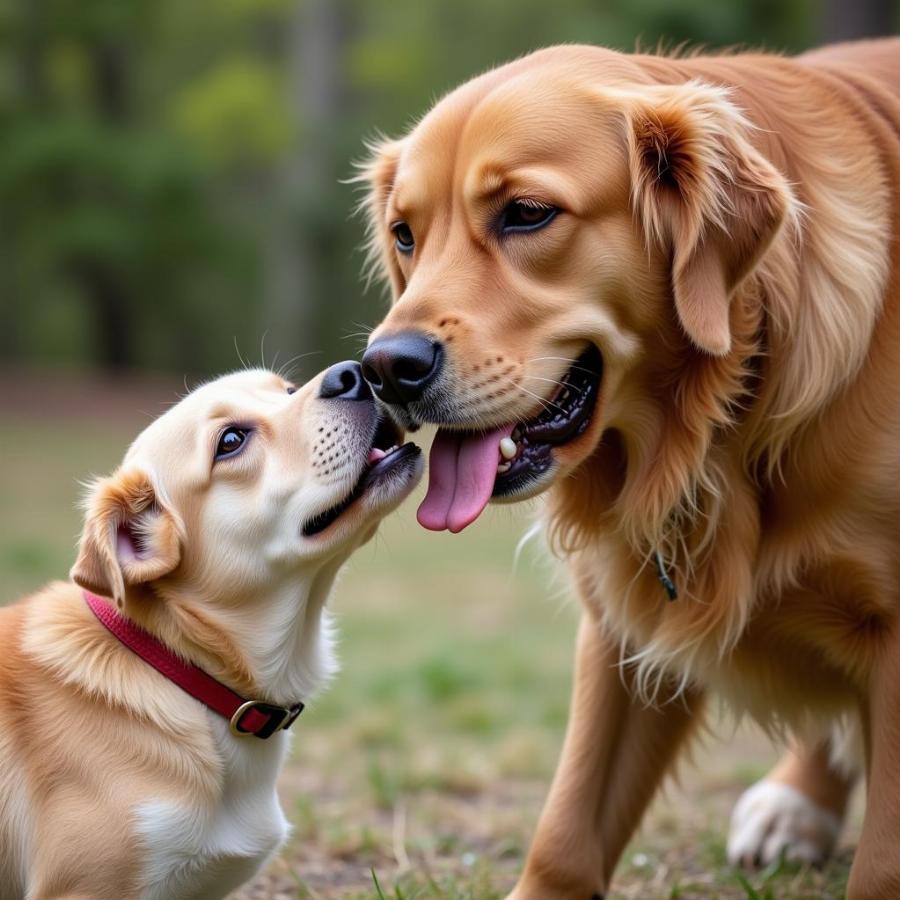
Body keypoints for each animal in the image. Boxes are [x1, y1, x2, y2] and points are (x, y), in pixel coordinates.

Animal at [358, 40, 900, 900]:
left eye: (527, 213)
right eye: (405, 233)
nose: (384, 369)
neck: (715, 430)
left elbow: (884, 858)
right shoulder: (621, 620)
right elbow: (568, 827)